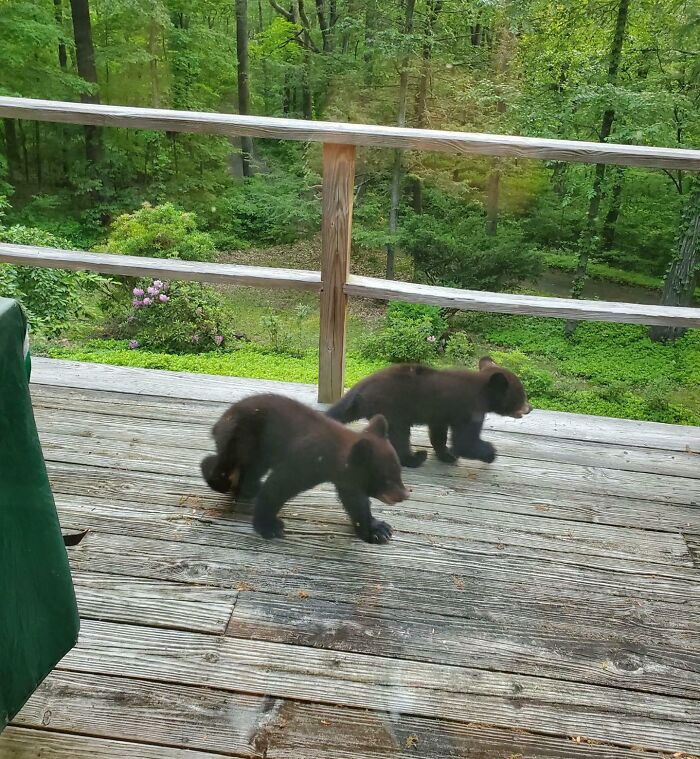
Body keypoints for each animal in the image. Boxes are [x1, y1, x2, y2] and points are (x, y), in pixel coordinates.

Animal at [200, 393, 408, 544]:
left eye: (399, 473)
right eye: (387, 478)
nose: (404, 495)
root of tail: (220, 422)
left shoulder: (347, 480)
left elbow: (356, 502)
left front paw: (377, 529)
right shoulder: (305, 461)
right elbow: (277, 486)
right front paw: (269, 526)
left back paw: (250, 487)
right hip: (243, 440)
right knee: (223, 466)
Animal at [326, 356, 531, 467]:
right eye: (522, 395)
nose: (529, 408)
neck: (483, 391)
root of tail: (360, 389)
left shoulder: (440, 413)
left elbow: (438, 433)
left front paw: (446, 454)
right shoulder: (470, 409)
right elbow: (465, 442)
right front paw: (490, 453)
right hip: (392, 410)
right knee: (399, 436)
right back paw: (414, 458)